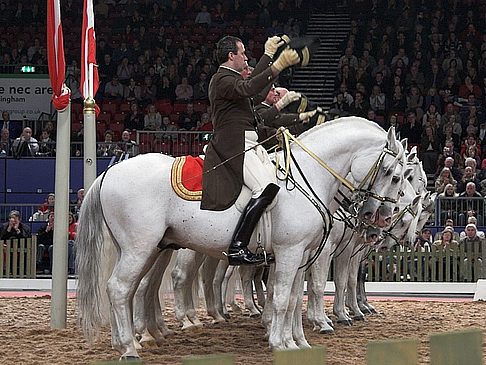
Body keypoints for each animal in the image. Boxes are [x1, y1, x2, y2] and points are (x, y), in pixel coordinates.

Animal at [77, 117, 406, 358]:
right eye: (394, 175)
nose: (379, 215)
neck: (308, 177)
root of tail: (109, 173)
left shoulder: (301, 255)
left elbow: (291, 299)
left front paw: (296, 342)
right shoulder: (290, 252)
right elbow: (282, 298)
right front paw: (280, 343)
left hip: (147, 249)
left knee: (132, 289)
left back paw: (131, 339)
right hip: (140, 248)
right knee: (120, 288)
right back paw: (130, 347)